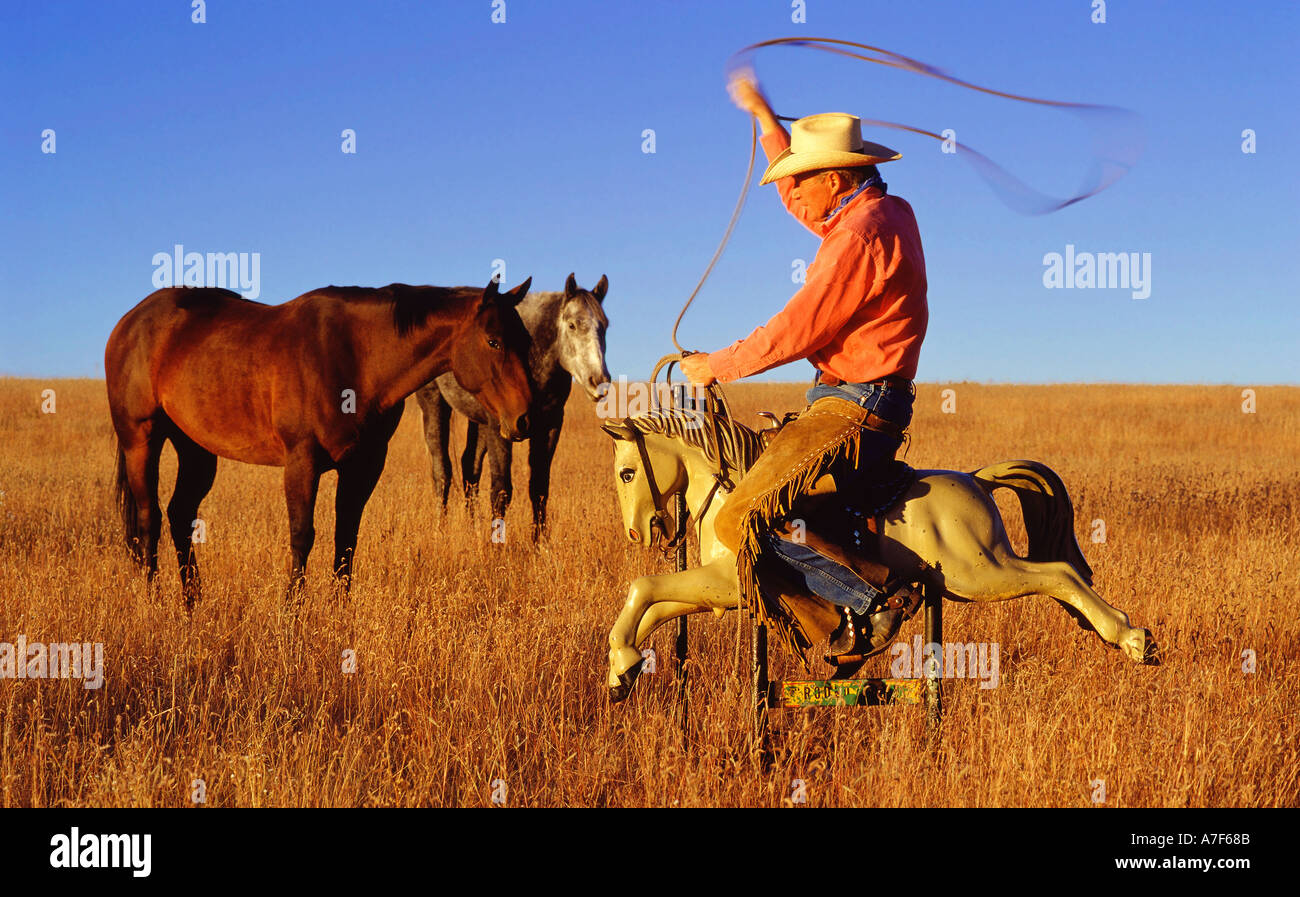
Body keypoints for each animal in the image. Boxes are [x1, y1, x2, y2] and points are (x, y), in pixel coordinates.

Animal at [100, 275, 527, 603]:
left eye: (522, 339)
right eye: (493, 341)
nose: (522, 419)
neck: (354, 355)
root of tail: (129, 322)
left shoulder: (363, 466)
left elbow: (346, 539)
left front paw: (339, 610)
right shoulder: (301, 462)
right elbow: (302, 536)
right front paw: (292, 612)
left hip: (197, 449)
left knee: (179, 514)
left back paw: (193, 603)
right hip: (141, 440)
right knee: (149, 519)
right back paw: (156, 601)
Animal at [421, 273, 613, 538]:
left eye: (604, 326)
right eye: (572, 325)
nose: (599, 381)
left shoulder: (549, 426)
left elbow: (539, 489)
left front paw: (539, 542)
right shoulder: (500, 428)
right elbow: (501, 490)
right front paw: (496, 543)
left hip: (478, 423)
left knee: (469, 467)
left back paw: (472, 529)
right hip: (434, 403)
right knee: (442, 472)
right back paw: (440, 530)